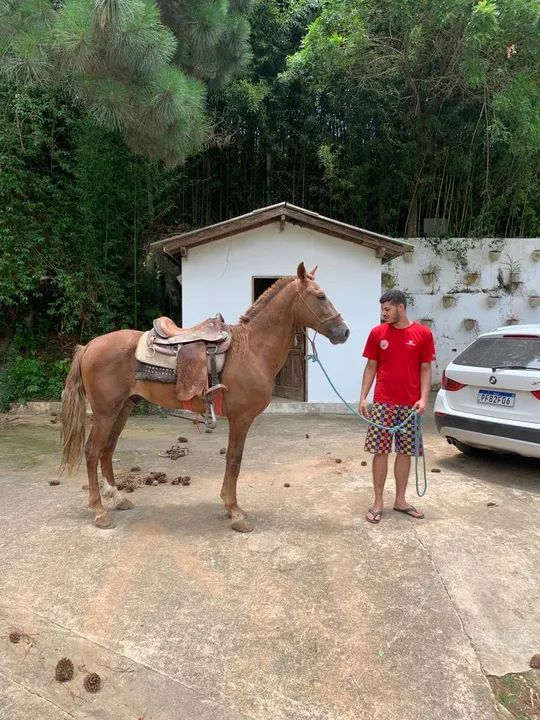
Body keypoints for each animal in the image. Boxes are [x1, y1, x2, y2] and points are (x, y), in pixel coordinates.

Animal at [61, 262, 350, 532]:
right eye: (320, 296)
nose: (344, 332)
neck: (252, 349)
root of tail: (89, 346)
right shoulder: (241, 418)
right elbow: (234, 460)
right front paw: (234, 512)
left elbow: (233, 461)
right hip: (105, 412)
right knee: (92, 451)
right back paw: (100, 511)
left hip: (122, 408)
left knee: (107, 449)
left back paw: (117, 498)